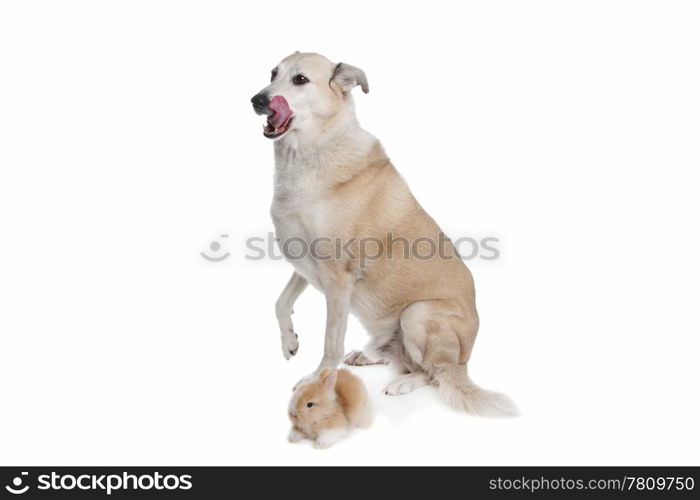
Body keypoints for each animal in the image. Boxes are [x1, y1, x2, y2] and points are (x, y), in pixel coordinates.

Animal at [252, 51, 516, 450]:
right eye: (272, 74)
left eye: (299, 80)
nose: (257, 100)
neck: (314, 150)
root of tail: (466, 362)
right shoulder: (306, 264)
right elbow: (281, 303)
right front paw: (290, 343)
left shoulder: (337, 279)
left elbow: (330, 343)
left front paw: (317, 379)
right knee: (404, 358)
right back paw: (369, 355)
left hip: (418, 313)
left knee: (433, 373)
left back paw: (404, 382)